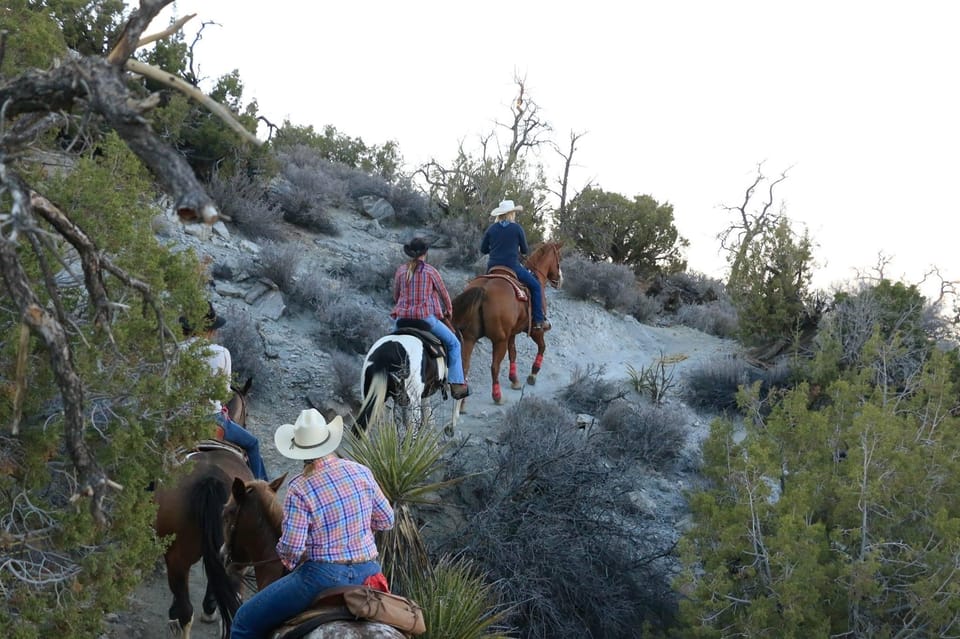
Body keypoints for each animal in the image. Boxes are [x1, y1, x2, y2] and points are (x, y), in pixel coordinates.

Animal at [452, 240, 564, 404]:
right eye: (558, 259)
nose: (560, 281)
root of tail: (484, 288)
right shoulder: (535, 330)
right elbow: (542, 347)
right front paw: (533, 374)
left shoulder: (512, 333)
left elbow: (513, 353)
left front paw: (514, 379)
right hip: (499, 340)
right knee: (494, 367)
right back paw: (497, 396)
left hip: (470, 338)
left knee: (465, 366)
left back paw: (462, 402)